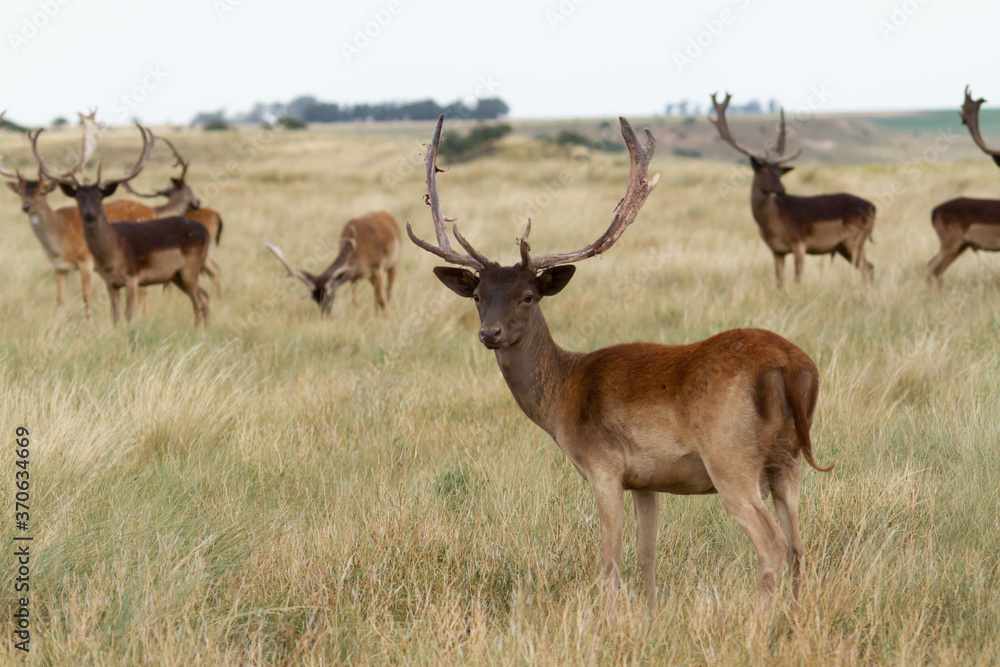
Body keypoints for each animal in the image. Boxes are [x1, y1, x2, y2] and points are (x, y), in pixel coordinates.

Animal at [1, 111, 158, 316]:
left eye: (42, 192)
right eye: (20, 192)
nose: (26, 207)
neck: (59, 243)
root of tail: (152, 210)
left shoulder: (86, 262)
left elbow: (86, 297)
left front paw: (89, 321)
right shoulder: (59, 268)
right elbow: (60, 300)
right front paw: (57, 323)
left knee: (144, 291)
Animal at [31, 124, 211, 326]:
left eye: (99, 195)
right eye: (78, 196)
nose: (88, 211)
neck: (112, 253)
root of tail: (205, 231)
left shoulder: (133, 276)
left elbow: (128, 314)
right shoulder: (110, 283)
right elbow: (115, 317)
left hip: (190, 269)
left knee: (198, 301)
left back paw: (198, 330)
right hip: (177, 275)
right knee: (204, 296)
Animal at [263, 212, 401, 316]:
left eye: (330, 295)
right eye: (314, 298)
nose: (326, 315)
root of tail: (387, 214)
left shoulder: (376, 268)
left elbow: (381, 299)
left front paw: (386, 319)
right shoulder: (352, 275)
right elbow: (355, 301)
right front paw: (356, 318)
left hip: (393, 263)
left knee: (388, 291)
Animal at [409, 115, 832, 614]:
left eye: (528, 296)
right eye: (477, 296)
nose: (489, 333)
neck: (563, 398)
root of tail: (793, 367)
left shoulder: (603, 465)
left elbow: (610, 561)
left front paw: (608, 617)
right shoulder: (646, 480)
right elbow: (647, 554)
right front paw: (649, 613)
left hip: (731, 455)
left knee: (772, 543)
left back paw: (759, 620)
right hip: (789, 459)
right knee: (799, 545)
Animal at [709, 93, 876, 287]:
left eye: (779, 172)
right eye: (764, 171)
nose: (782, 189)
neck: (772, 225)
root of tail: (873, 207)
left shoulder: (799, 244)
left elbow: (798, 279)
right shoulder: (777, 251)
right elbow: (779, 281)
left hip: (854, 240)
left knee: (868, 267)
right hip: (843, 246)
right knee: (869, 267)